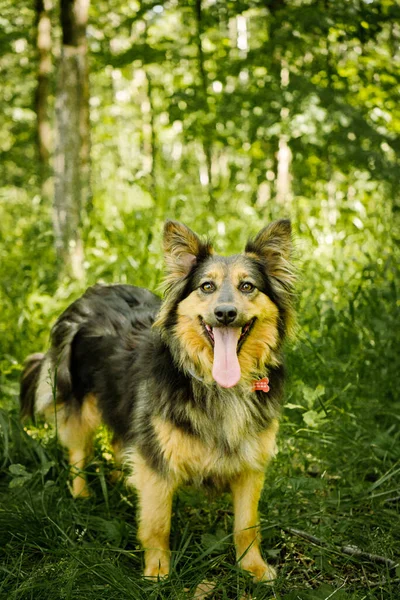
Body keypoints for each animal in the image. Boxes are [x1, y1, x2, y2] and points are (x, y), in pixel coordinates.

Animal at [20, 219, 296, 580]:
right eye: (207, 286)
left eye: (247, 286)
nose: (225, 313)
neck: (215, 384)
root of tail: (91, 292)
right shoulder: (157, 461)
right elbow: (157, 524)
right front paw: (158, 574)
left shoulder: (251, 463)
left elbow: (247, 525)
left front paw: (254, 569)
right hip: (80, 400)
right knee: (78, 451)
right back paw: (82, 495)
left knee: (120, 443)